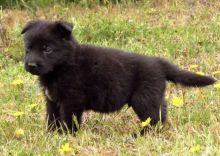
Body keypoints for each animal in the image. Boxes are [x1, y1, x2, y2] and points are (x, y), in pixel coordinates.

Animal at [21, 20, 215, 135]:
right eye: (28, 48)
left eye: (47, 48)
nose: (31, 65)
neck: (63, 65)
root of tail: (158, 62)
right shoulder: (52, 100)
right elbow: (52, 119)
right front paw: (50, 135)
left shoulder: (72, 101)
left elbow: (69, 121)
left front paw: (67, 136)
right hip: (152, 97)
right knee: (161, 114)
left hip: (143, 100)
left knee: (154, 119)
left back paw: (140, 135)